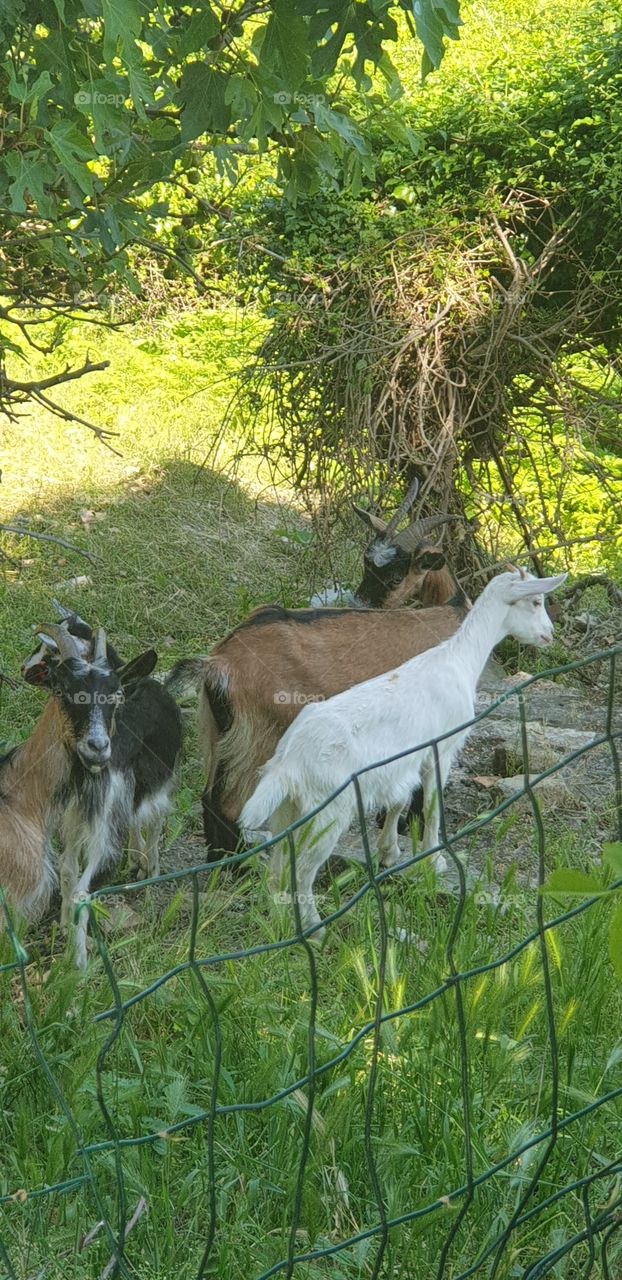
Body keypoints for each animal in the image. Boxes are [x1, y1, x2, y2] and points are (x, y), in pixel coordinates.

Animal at [14, 622, 182, 967]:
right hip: (104, 825)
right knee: (83, 890)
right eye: (65, 690)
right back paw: (79, 964)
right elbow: (153, 829)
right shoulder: (159, 788)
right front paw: (150, 879)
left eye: (114, 695)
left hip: (75, 818)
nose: (97, 747)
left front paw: (138, 862)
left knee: (68, 871)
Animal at [168, 491, 468, 858]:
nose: (361, 606)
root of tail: (220, 662)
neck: (453, 611)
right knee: (229, 805)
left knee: (209, 799)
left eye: (395, 576)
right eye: (368, 567)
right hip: (261, 737)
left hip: (219, 732)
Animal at [240, 568, 567, 938]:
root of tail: (288, 763)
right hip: (327, 811)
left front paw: (389, 851)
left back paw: (279, 924)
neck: (459, 661)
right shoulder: (443, 747)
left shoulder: (403, 761)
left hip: (288, 809)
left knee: (277, 868)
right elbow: (432, 804)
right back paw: (315, 929)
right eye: (536, 601)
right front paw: (434, 859)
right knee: (302, 872)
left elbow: (399, 799)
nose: (549, 635)